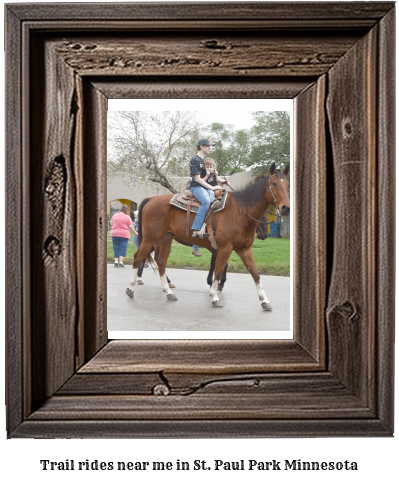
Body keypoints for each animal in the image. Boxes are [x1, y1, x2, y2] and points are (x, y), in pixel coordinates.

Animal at [127, 163, 290, 308]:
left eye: (287, 184)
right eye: (274, 183)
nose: (285, 208)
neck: (240, 212)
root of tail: (152, 199)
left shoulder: (243, 249)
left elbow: (255, 273)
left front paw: (264, 300)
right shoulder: (224, 248)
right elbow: (218, 270)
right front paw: (215, 295)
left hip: (165, 238)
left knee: (161, 262)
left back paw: (168, 291)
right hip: (150, 239)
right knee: (138, 257)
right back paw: (131, 288)